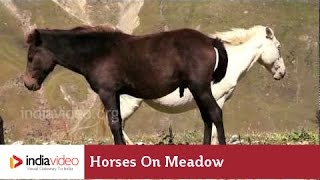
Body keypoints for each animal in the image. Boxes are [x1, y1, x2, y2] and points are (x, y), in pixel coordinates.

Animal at [23, 25, 228, 144]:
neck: (96, 53)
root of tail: (209, 40)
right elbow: (119, 122)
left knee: (215, 113)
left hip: (200, 88)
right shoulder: (115, 94)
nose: (28, 84)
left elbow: (114, 124)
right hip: (197, 89)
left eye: (31, 56)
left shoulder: (107, 92)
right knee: (207, 117)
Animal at [117, 25, 284, 143]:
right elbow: (215, 129)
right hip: (129, 102)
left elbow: (208, 122)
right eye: (278, 46)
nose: (282, 73)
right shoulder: (219, 99)